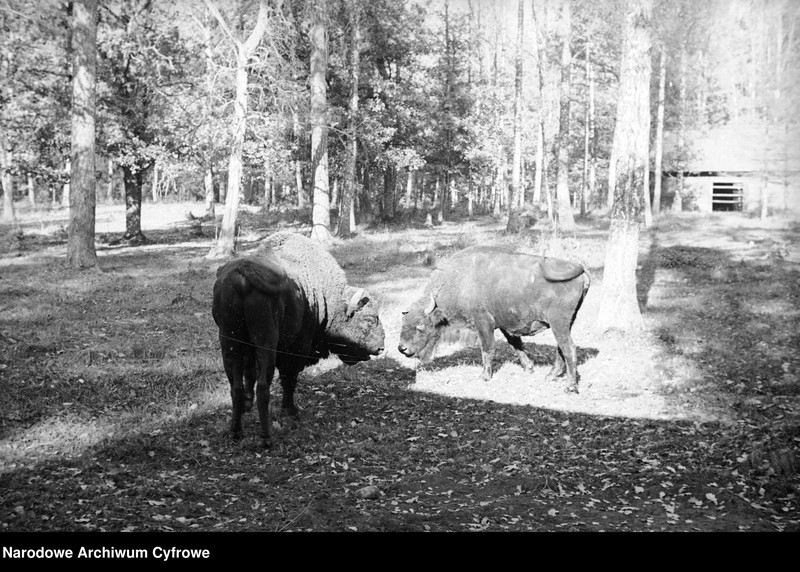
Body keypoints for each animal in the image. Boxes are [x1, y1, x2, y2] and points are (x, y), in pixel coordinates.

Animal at [211, 230, 386, 444]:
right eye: (369, 319)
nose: (381, 347)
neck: (328, 299)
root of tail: (242, 272)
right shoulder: (296, 350)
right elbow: (289, 379)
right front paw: (291, 411)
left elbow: (249, 377)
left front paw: (247, 405)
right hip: (266, 343)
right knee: (264, 387)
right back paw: (266, 438)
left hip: (228, 342)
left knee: (235, 386)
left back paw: (236, 432)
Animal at [398, 246, 592, 394]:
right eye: (403, 323)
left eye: (420, 325)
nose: (402, 348)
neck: (460, 281)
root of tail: (580, 269)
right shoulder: (505, 325)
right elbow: (516, 344)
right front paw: (529, 367)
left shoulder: (483, 323)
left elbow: (487, 348)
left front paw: (484, 376)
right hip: (564, 323)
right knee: (561, 349)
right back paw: (551, 376)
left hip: (559, 323)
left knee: (569, 349)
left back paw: (570, 387)